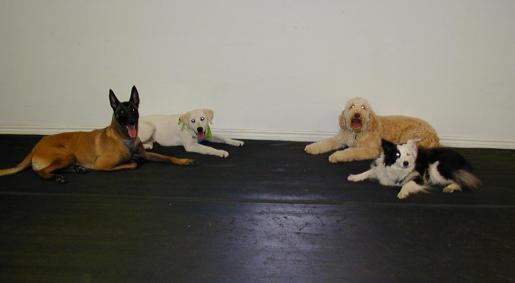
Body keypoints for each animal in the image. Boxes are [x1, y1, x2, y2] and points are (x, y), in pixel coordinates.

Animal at [0, 86, 197, 184]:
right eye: (121, 112)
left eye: (133, 109)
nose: (131, 120)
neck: (124, 139)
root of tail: (36, 146)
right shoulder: (103, 164)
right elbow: (132, 163)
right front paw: (133, 161)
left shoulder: (146, 153)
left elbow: (167, 157)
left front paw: (183, 160)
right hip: (65, 154)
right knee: (41, 171)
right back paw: (56, 177)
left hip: (67, 157)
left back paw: (76, 169)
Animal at [306, 97, 440, 163]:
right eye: (351, 106)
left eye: (363, 107)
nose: (357, 115)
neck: (357, 134)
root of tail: (435, 135)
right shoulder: (340, 139)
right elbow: (326, 142)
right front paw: (312, 147)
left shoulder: (370, 149)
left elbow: (351, 151)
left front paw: (337, 156)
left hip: (410, 135)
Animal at [348, 139, 482, 200]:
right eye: (397, 155)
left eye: (408, 154)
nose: (406, 163)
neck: (397, 169)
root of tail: (463, 159)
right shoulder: (382, 170)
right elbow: (368, 172)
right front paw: (354, 177)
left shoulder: (419, 177)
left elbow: (408, 184)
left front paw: (402, 193)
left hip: (436, 169)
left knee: (462, 181)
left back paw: (451, 187)